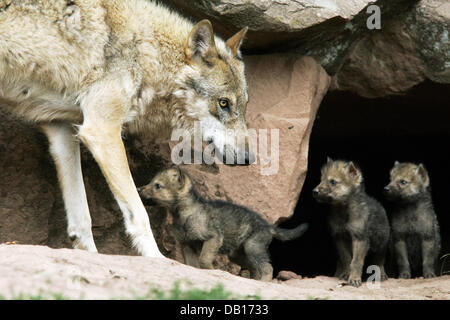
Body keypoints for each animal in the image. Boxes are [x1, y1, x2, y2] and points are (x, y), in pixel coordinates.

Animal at [0, 0, 253, 258]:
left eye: (244, 106)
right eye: (223, 103)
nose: (248, 158)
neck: (145, 52)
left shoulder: (62, 130)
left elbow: (81, 219)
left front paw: (90, 256)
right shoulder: (102, 131)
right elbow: (139, 214)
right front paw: (156, 259)